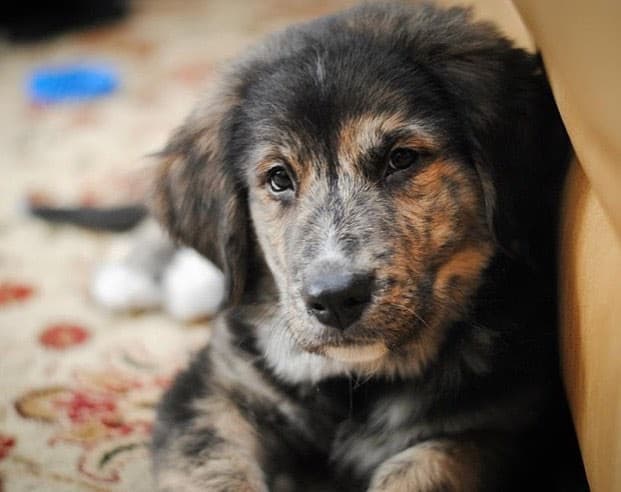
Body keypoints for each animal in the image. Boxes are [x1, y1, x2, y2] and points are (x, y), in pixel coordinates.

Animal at [149, 3, 576, 492]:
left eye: (401, 158)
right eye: (278, 178)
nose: (335, 299)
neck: (359, 385)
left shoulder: (505, 426)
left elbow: (423, 467)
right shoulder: (212, 392)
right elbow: (212, 468)